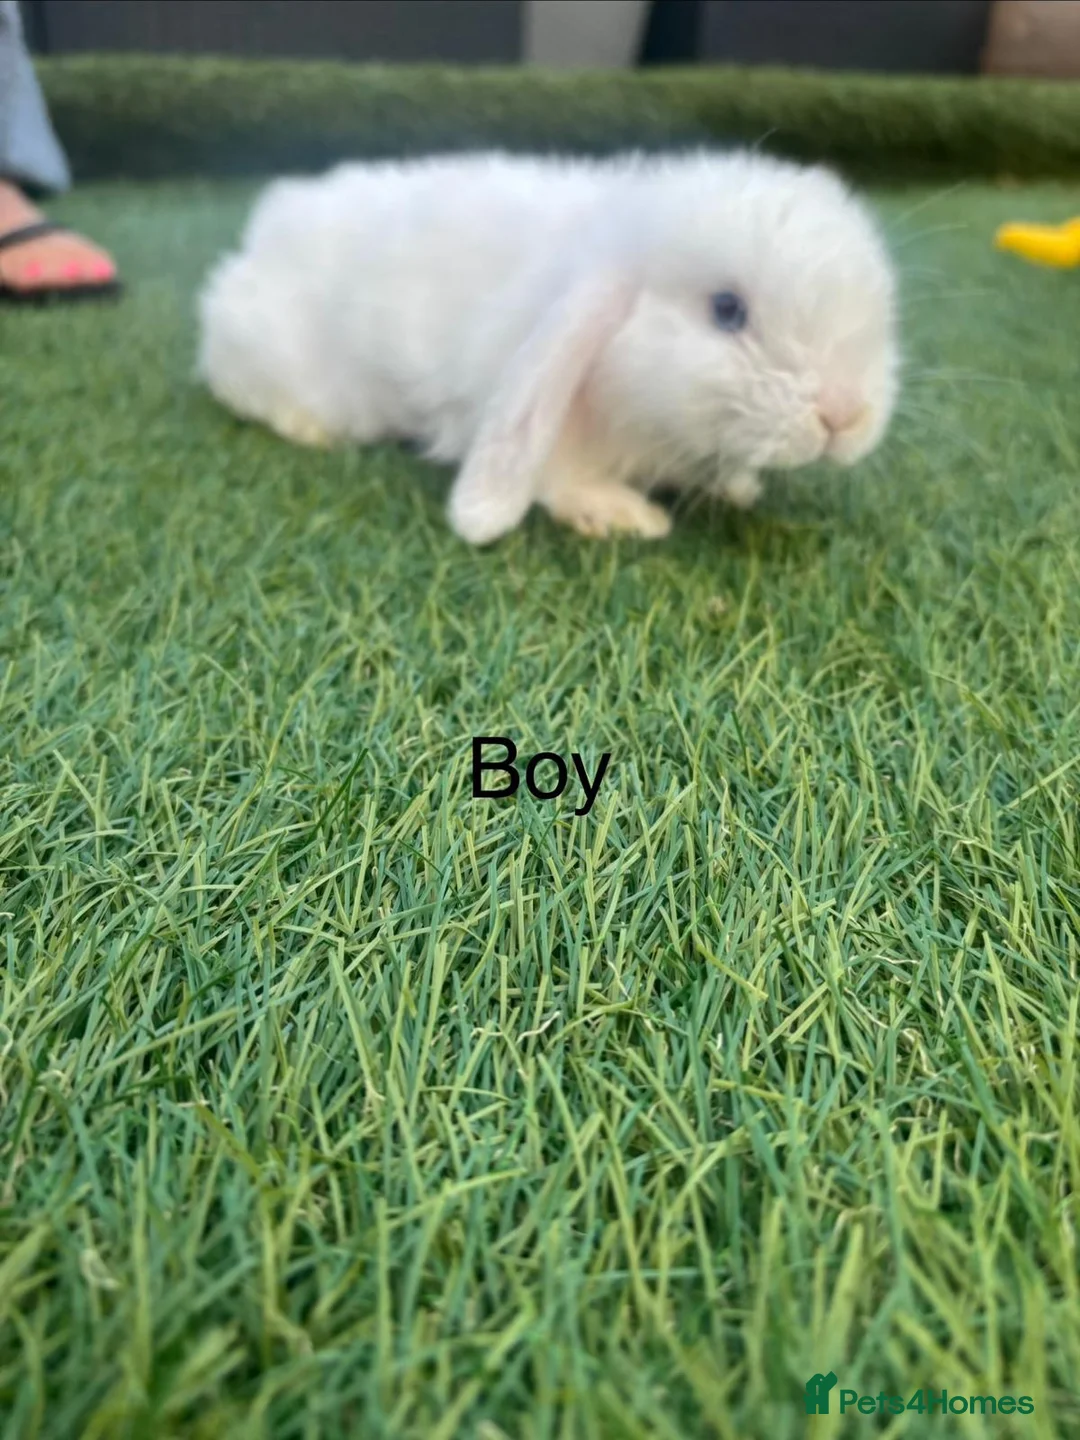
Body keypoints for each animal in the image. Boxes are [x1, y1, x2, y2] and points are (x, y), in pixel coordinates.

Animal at [196, 148, 899, 544]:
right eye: (727, 310)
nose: (845, 415)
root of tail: (247, 253)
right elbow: (555, 477)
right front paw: (621, 516)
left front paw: (738, 488)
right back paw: (312, 431)